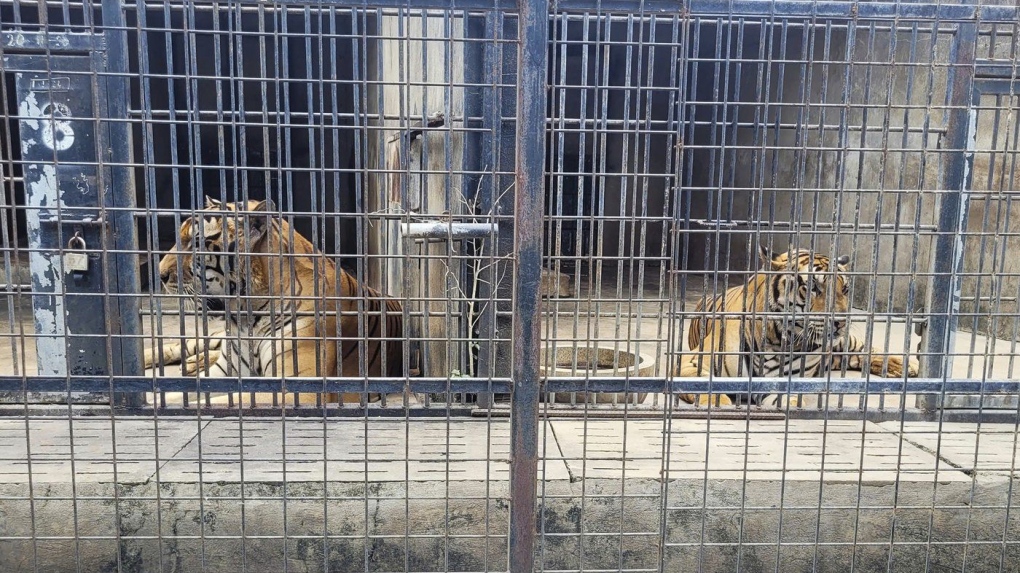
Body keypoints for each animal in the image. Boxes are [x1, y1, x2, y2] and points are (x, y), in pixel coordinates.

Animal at [673, 245, 922, 405]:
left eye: (845, 289)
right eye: (813, 288)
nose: (841, 322)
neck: (777, 339)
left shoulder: (783, 385)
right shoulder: (692, 363)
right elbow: (713, 396)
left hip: (845, 343)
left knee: (866, 350)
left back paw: (909, 366)